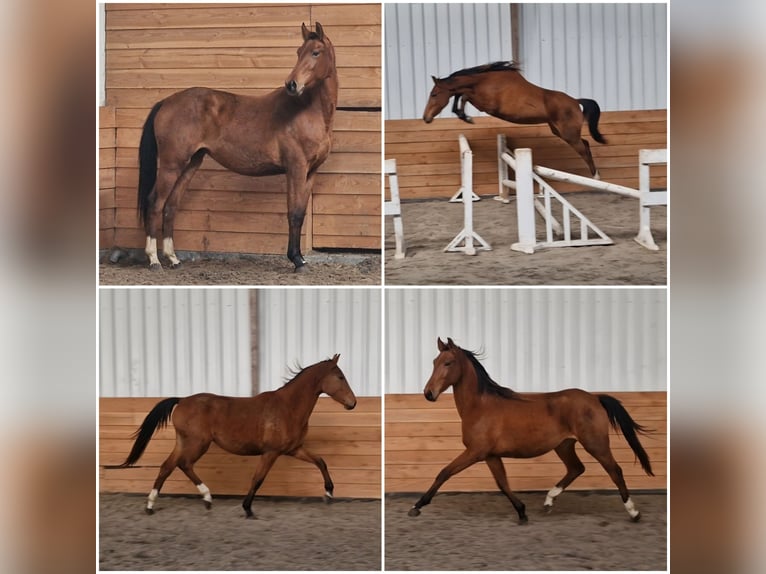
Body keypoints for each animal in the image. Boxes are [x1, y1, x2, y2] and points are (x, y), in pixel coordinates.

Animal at [109, 354, 356, 518]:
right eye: (340, 377)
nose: (353, 403)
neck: (288, 407)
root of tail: (182, 400)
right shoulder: (271, 452)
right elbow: (258, 479)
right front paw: (247, 508)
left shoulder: (293, 449)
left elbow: (321, 461)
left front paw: (329, 493)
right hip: (197, 443)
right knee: (183, 464)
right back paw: (206, 497)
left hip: (184, 442)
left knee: (167, 466)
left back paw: (152, 505)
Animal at [136, 22, 337, 272]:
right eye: (299, 52)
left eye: (316, 52)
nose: (291, 84)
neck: (308, 112)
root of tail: (166, 102)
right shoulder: (295, 169)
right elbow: (293, 213)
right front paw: (297, 259)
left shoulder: (311, 172)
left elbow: (300, 213)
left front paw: (299, 258)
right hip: (171, 165)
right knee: (155, 203)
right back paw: (154, 259)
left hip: (189, 165)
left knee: (170, 206)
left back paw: (173, 258)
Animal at [408, 338, 654, 523]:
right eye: (435, 361)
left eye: (448, 363)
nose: (428, 393)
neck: (480, 406)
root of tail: (595, 398)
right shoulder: (490, 455)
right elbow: (502, 483)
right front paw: (522, 512)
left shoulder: (475, 452)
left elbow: (444, 473)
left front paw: (417, 506)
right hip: (564, 445)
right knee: (576, 468)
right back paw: (548, 502)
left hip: (595, 443)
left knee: (615, 470)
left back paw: (634, 512)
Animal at [422, 61, 607, 177]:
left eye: (434, 94)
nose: (426, 118)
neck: (484, 81)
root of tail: (576, 101)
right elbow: (461, 95)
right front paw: (463, 115)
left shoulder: (488, 105)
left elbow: (465, 95)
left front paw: (466, 117)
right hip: (560, 131)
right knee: (585, 144)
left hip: (569, 134)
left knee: (584, 149)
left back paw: (596, 177)